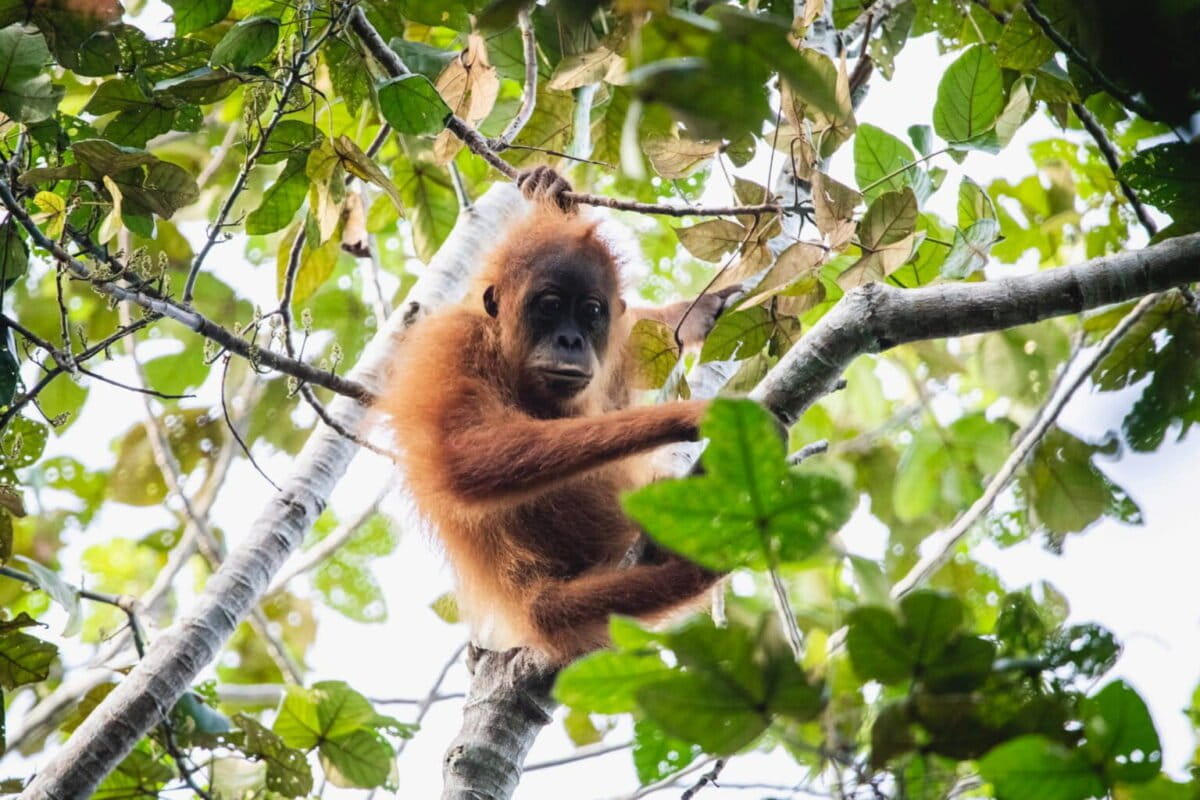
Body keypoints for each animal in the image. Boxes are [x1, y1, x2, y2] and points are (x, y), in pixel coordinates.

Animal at [379, 167, 731, 663]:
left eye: (591, 311)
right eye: (549, 307)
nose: (571, 341)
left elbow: (629, 348)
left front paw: (693, 313)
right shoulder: (451, 345)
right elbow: (461, 456)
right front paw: (687, 415)